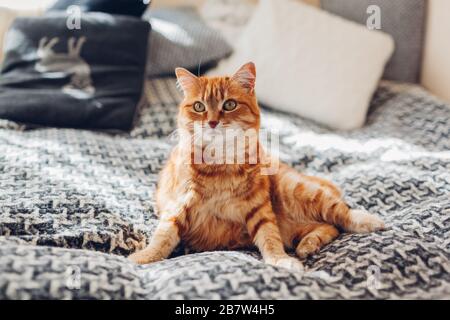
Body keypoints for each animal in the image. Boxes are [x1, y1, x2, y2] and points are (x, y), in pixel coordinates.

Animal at [128, 62, 384, 270]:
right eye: (199, 107)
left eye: (229, 104)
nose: (212, 122)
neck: (221, 162)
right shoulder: (178, 206)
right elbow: (163, 237)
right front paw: (142, 258)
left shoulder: (259, 208)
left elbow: (270, 238)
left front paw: (280, 260)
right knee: (329, 227)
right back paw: (308, 245)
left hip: (299, 190)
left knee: (341, 213)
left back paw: (368, 221)